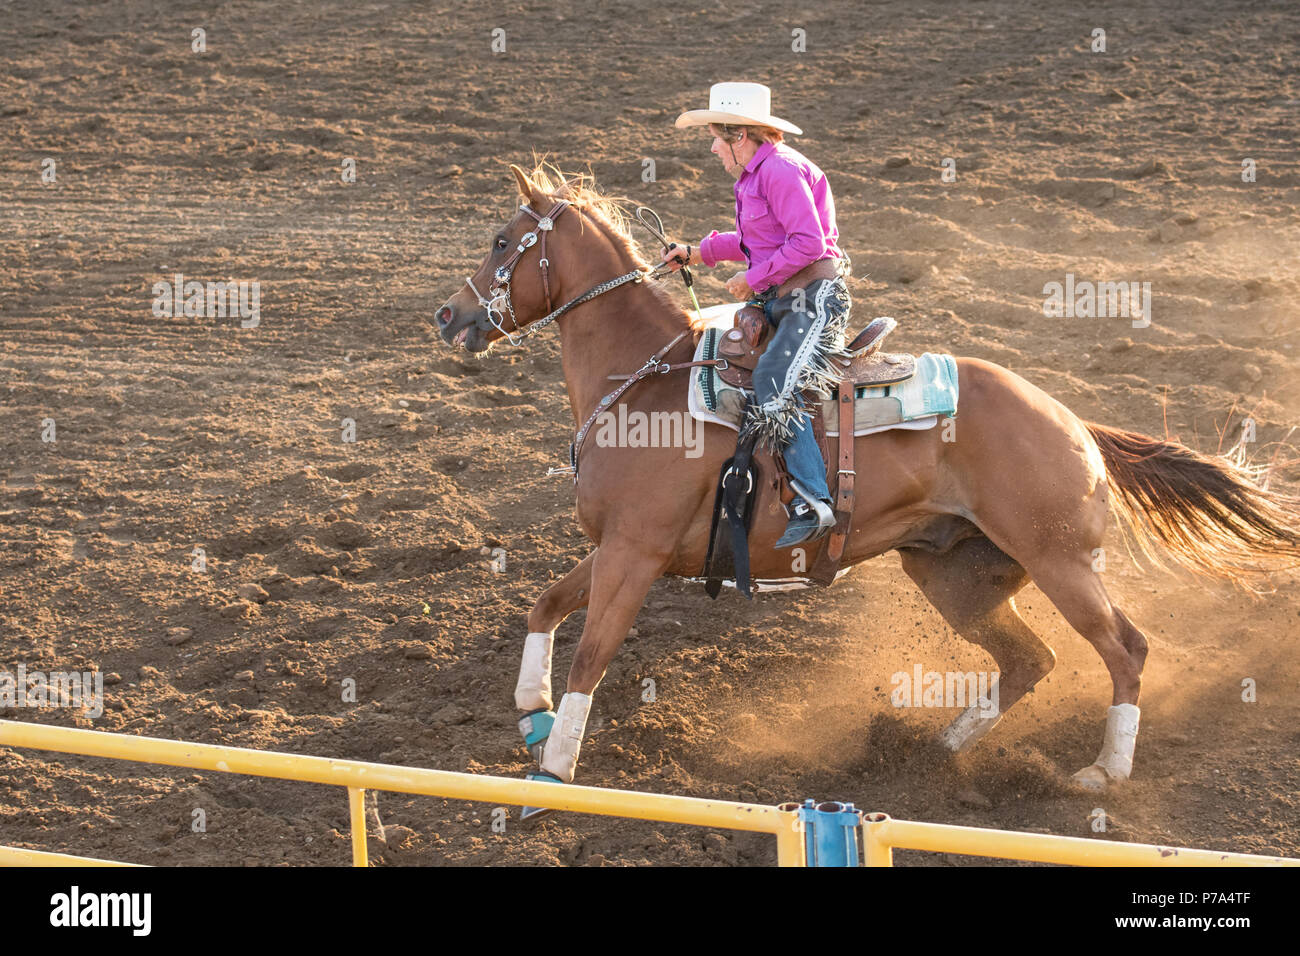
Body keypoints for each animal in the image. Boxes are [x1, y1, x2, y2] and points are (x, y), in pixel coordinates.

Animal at [434, 162, 1300, 806]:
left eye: (502, 239)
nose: (448, 316)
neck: (645, 387)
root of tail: (1072, 419)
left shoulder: (635, 553)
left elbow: (593, 652)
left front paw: (555, 769)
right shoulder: (615, 544)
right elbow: (544, 605)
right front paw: (531, 713)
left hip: (1058, 559)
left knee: (1124, 646)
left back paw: (1102, 771)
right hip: (955, 572)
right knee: (1031, 661)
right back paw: (936, 749)